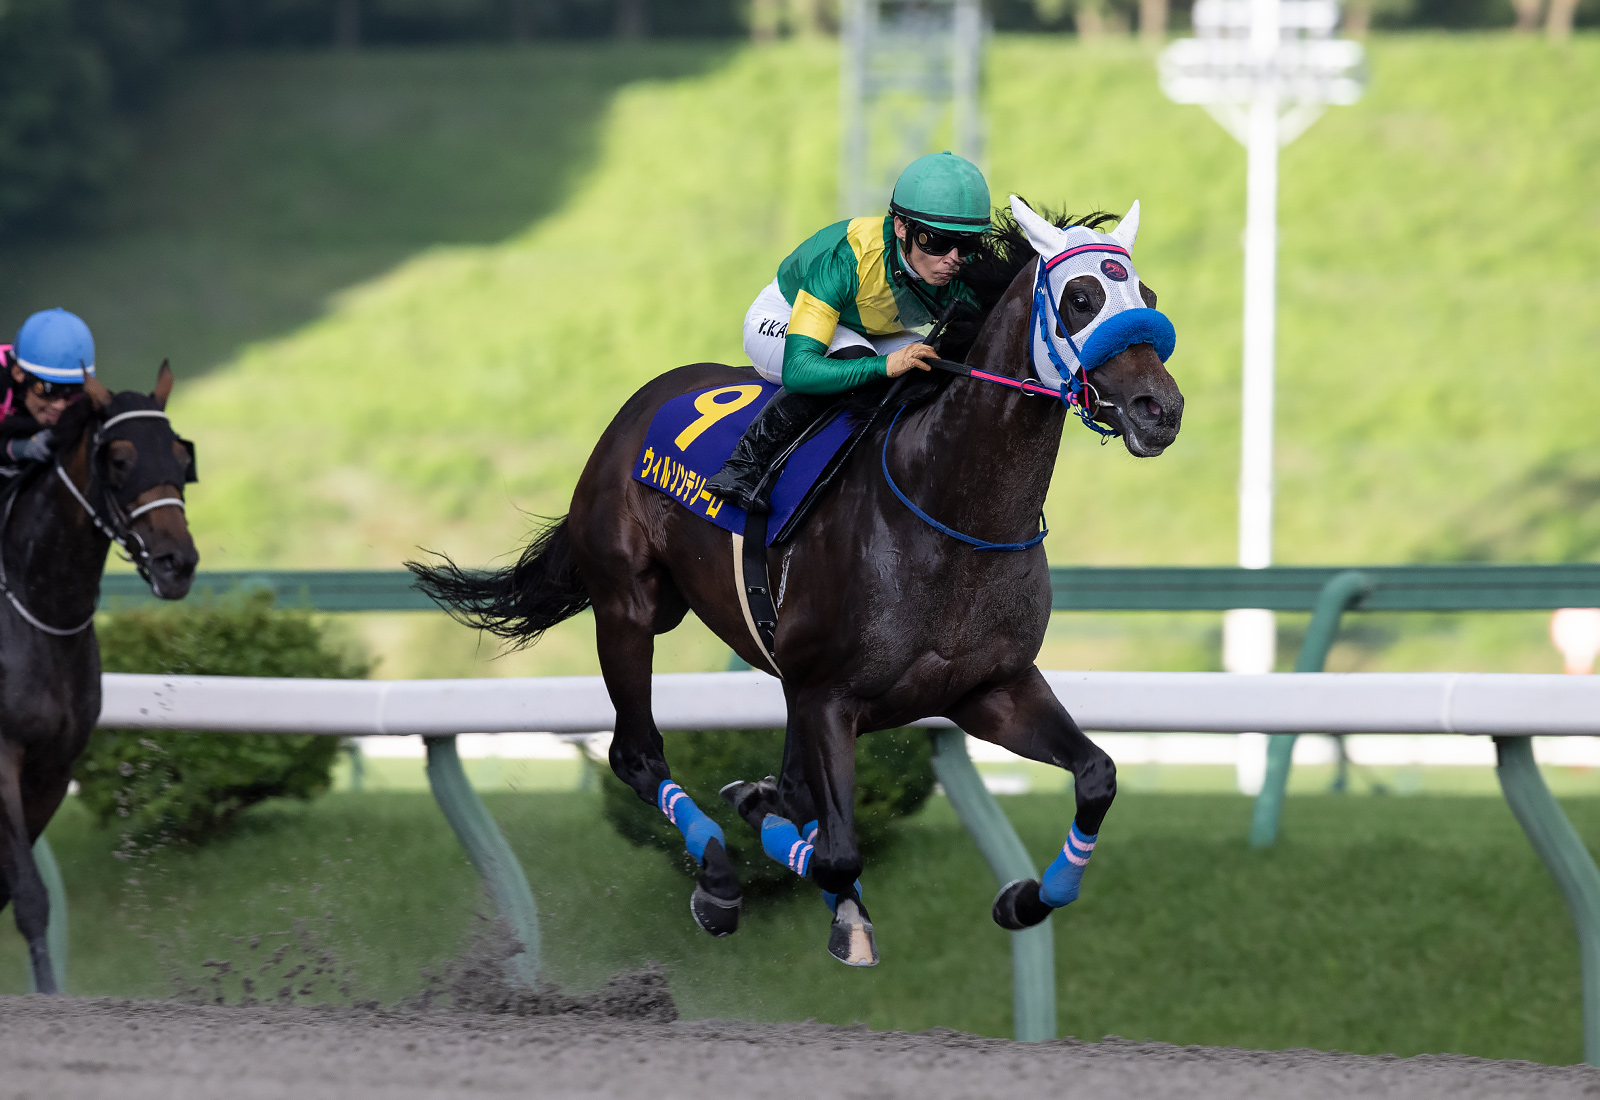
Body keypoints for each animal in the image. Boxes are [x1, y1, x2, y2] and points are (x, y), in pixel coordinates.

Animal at [0, 364, 198, 991]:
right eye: (120, 457)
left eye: (180, 455)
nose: (177, 564)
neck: (40, 607)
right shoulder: (1, 756)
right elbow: (30, 897)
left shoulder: (53, 766)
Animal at [416, 197, 1177, 959]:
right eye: (1080, 300)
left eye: (1148, 298)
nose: (1160, 409)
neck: (949, 513)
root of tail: (640, 404)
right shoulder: (826, 695)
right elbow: (835, 851)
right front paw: (799, 882)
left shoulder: (989, 690)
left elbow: (1097, 777)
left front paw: (1025, 899)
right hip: (629, 606)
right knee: (636, 754)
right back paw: (718, 875)